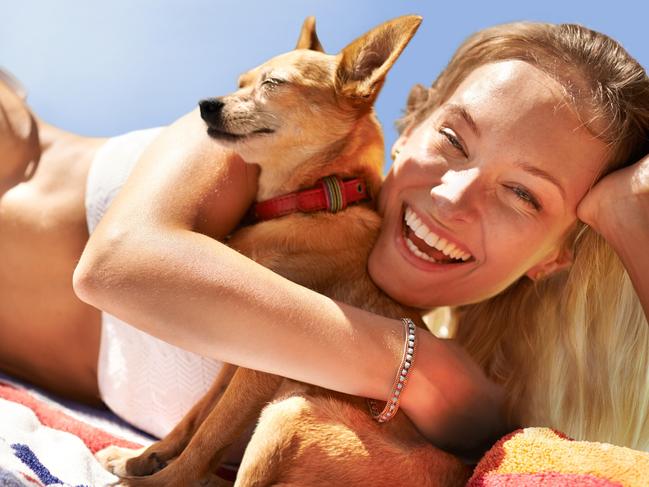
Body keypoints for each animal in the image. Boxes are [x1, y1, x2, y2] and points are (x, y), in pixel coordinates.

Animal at [97, 15, 466, 487]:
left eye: (274, 83)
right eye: (240, 82)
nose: (206, 104)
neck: (311, 200)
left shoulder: (262, 367)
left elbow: (211, 432)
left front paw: (157, 478)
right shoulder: (238, 352)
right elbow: (195, 417)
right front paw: (145, 455)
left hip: (286, 411)